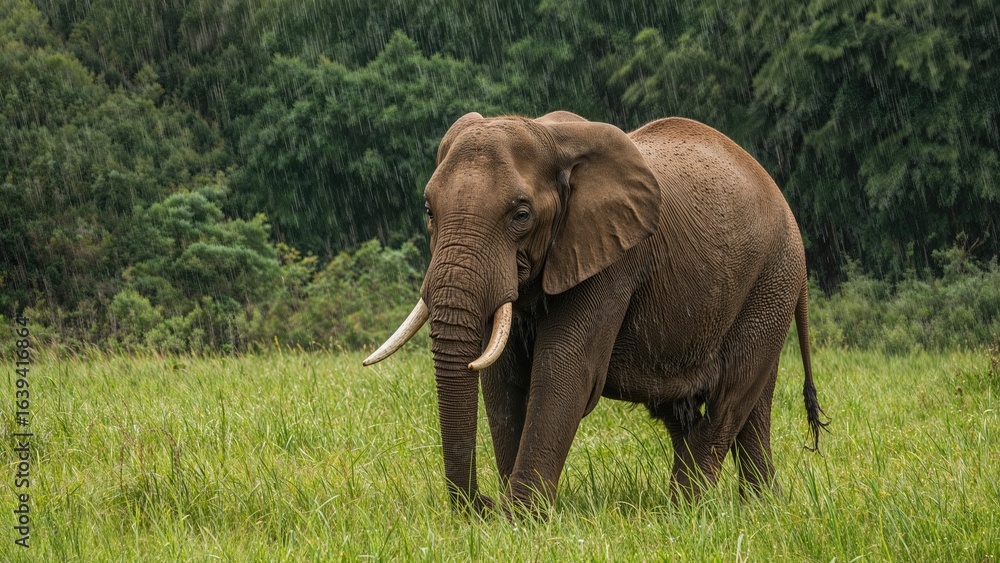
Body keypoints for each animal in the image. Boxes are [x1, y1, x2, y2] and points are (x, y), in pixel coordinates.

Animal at [364, 111, 827, 515]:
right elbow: (502, 378)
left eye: (521, 215)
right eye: (428, 211)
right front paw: (512, 518)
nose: (483, 504)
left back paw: (688, 510)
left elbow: (564, 369)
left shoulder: (612, 259)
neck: (550, 137)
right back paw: (756, 506)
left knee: (731, 397)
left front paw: (521, 519)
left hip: (771, 281)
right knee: (714, 408)